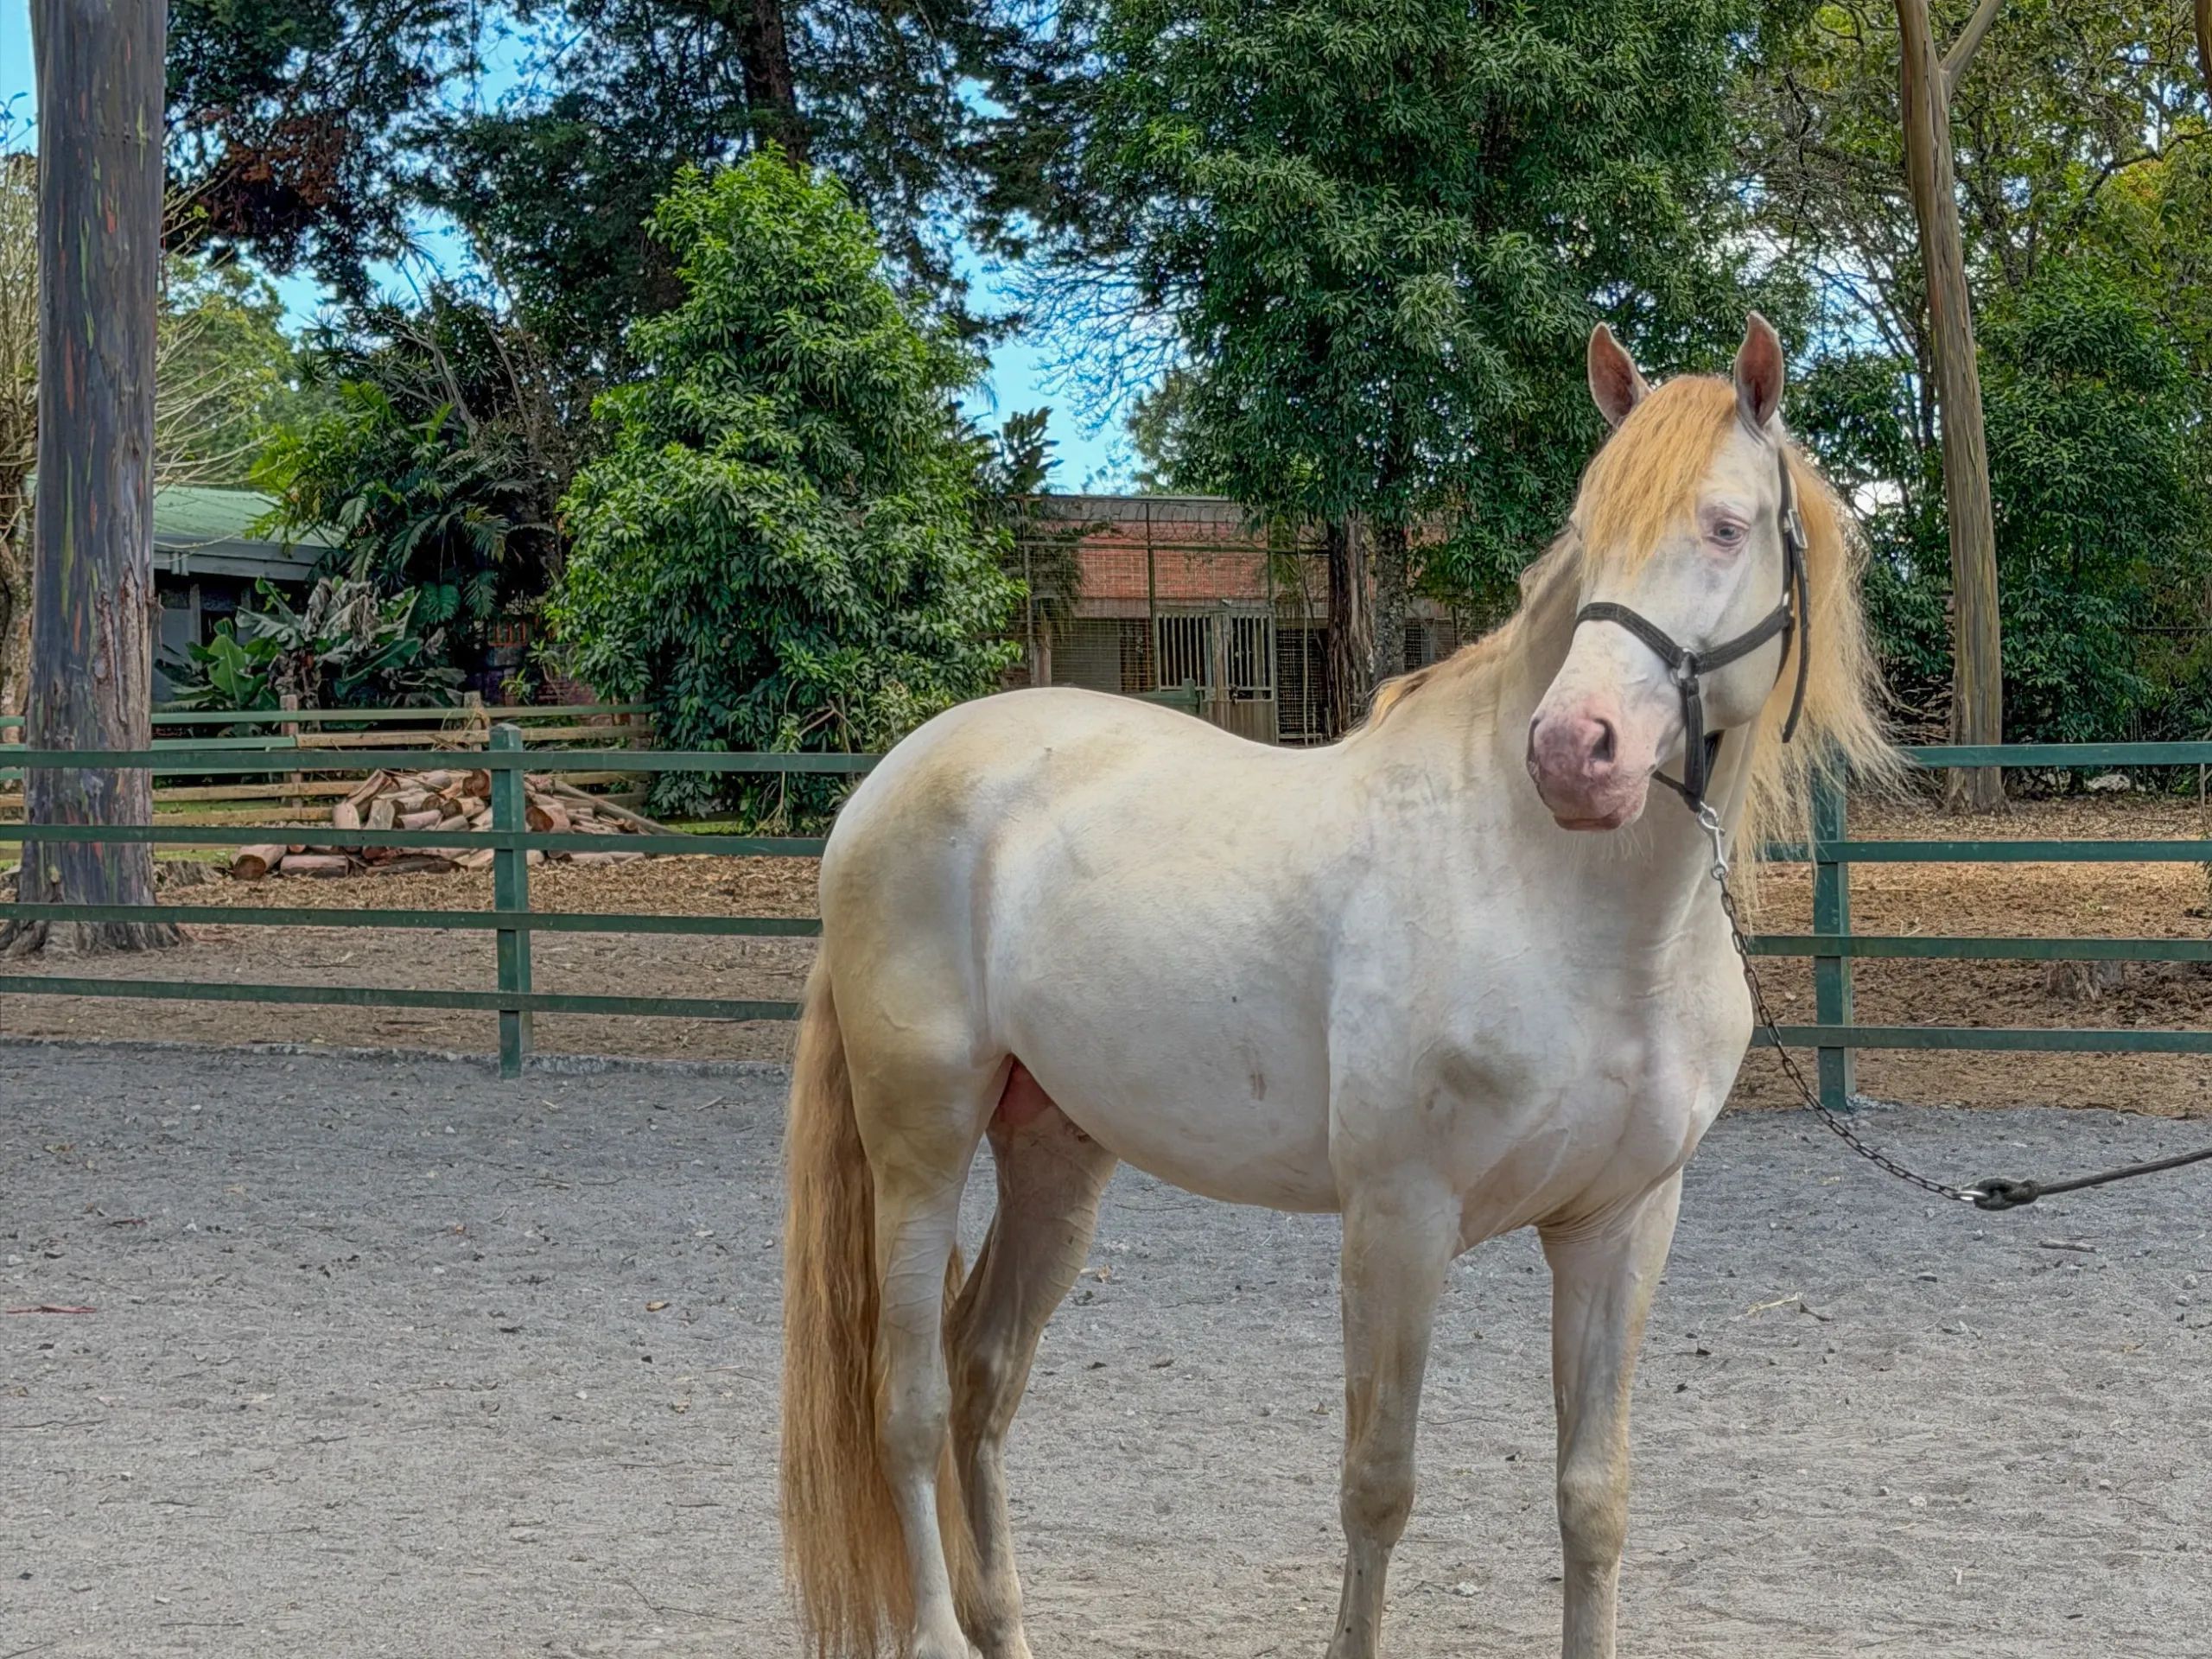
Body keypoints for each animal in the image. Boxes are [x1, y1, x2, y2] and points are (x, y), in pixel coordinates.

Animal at [780, 314, 1891, 1659]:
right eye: (1588, 530)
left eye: (1725, 526)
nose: (1573, 755)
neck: (1564, 909)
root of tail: (887, 785)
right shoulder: (1398, 1221)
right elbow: (1378, 1487)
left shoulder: (1620, 1227)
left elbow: (1593, 1497)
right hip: (921, 1142)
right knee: (907, 1400)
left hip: (1055, 1150)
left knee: (981, 1379)